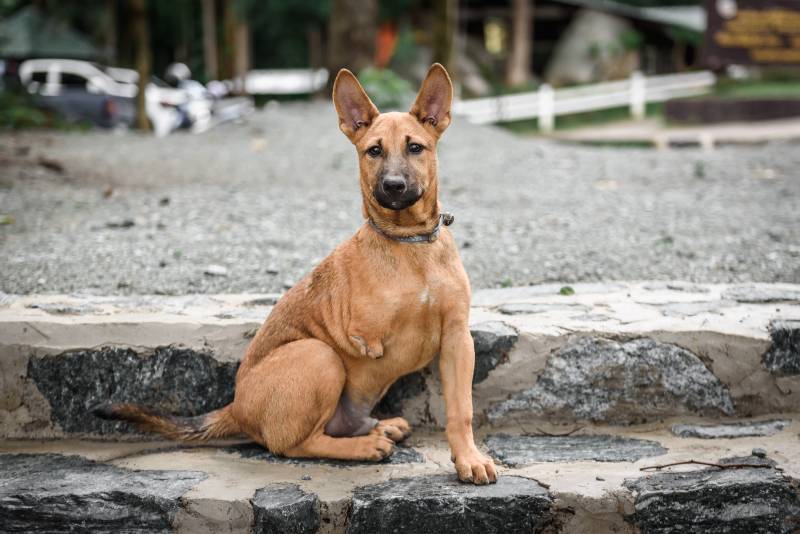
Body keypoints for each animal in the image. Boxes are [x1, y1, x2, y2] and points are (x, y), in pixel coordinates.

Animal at [94, 62, 494, 486]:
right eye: (374, 151)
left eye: (416, 147)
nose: (393, 187)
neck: (409, 243)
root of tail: (236, 407)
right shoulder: (360, 329)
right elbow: (368, 334)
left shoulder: (457, 340)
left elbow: (461, 410)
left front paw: (468, 458)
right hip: (318, 355)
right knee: (294, 444)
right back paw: (366, 446)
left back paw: (381, 427)